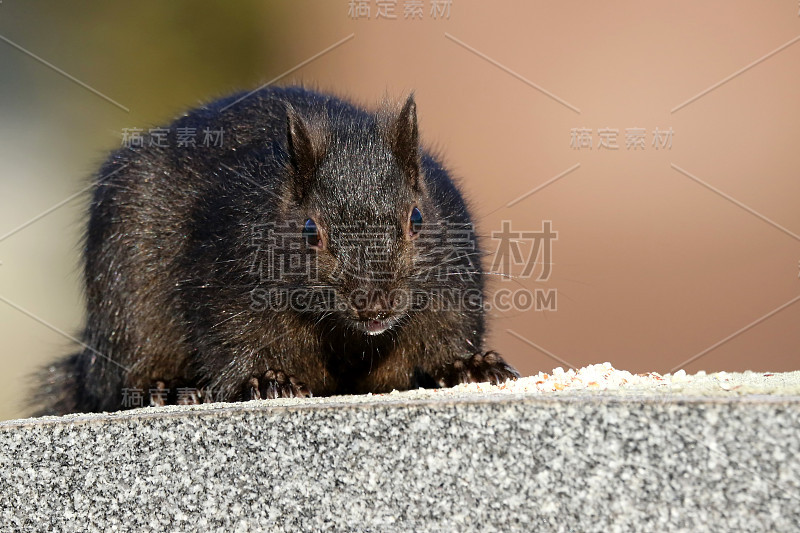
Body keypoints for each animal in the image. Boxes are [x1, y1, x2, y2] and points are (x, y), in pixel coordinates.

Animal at [31, 85, 520, 414]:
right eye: (309, 230)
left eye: (416, 220)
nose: (375, 304)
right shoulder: (232, 280)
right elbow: (236, 338)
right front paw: (266, 380)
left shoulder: (451, 284)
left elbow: (445, 334)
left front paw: (469, 365)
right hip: (125, 290)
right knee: (125, 367)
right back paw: (165, 387)